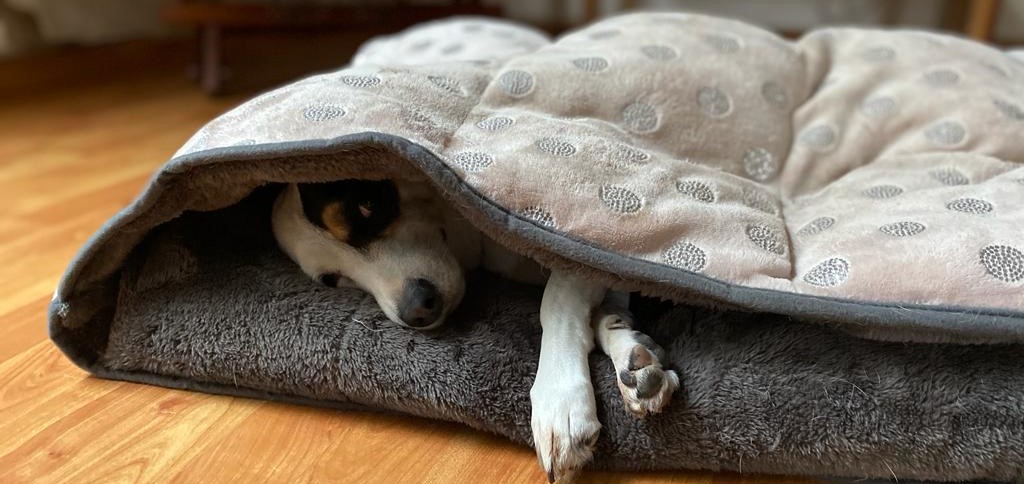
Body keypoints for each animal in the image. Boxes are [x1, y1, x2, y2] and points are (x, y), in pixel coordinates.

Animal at [272, 178, 680, 481]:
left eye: (369, 205)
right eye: (332, 278)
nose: (417, 309)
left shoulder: (574, 247)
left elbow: (559, 299)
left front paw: (560, 400)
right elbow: (605, 308)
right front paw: (631, 354)